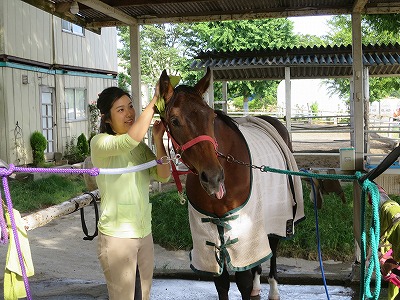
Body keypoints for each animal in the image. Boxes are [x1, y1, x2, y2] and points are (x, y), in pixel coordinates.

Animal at [158, 68, 304, 300]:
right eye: (174, 120)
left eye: (211, 116)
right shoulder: (208, 234)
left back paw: (273, 290)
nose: (214, 177)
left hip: (278, 215)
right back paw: (257, 287)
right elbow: (222, 282)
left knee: (272, 248)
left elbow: (242, 281)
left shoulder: (243, 230)